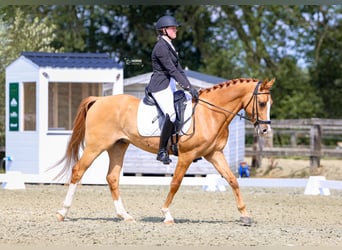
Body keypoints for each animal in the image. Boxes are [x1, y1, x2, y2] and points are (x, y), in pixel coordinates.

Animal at [55, 77, 276, 225]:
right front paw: (166, 214)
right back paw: (62, 213)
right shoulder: (187, 155)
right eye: (262, 103)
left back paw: (125, 216)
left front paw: (245, 215)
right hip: (96, 146)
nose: (266, 131)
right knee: (78, 171)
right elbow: (175, 183)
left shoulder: (214, 154)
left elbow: (232, 180)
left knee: (112, 178)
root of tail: (99, 100)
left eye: (270, 103)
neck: (210, 113)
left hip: (118, 146)